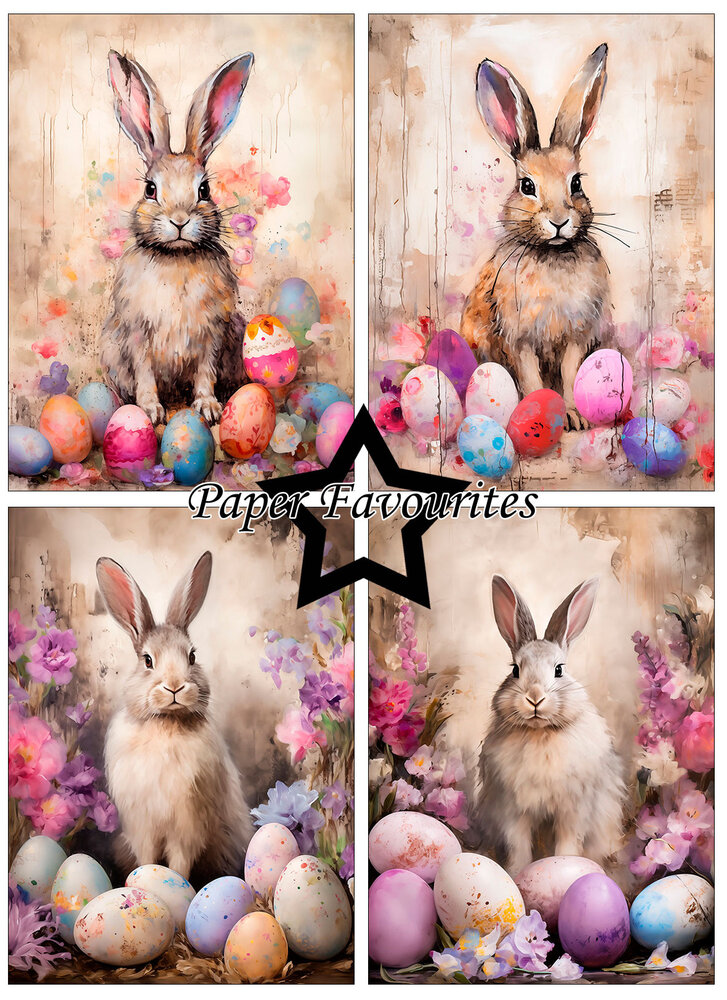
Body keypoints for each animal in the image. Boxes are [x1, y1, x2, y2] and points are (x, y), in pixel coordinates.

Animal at [96, 550, 253, 882]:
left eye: (191, 657)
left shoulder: (187, 828)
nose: (175, 687)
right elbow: (146, 860)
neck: (166, 722)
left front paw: (175, 886)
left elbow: (179, 864)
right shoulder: (142, 827)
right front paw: (141, 883)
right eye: (147, 660)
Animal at [100, 50, 254, 425]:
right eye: (150, 189)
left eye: (205, 189)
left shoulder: (212, 335)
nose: (180, 221)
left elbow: (205, 373)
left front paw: (208, 408)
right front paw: (150, 411)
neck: (177, 257)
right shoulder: (137, 335)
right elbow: (144, 375)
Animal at [461, 44, 613, 431]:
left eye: (577, 183)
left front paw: (575, 416)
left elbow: (571, 373)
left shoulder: (576, 336)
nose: (559, 221)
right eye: (526, 186)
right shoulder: (519, 340)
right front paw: (537, 412)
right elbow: (531, 378)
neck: (552, 253)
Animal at [478, 574, 625, 877]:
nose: (535, 698)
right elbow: (518, 844)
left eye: (559, 670)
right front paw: (515, 874)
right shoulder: (513, 811)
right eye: (515, 670)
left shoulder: (574, 810)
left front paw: (565, 870)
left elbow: (568, 844)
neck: (540, 733)